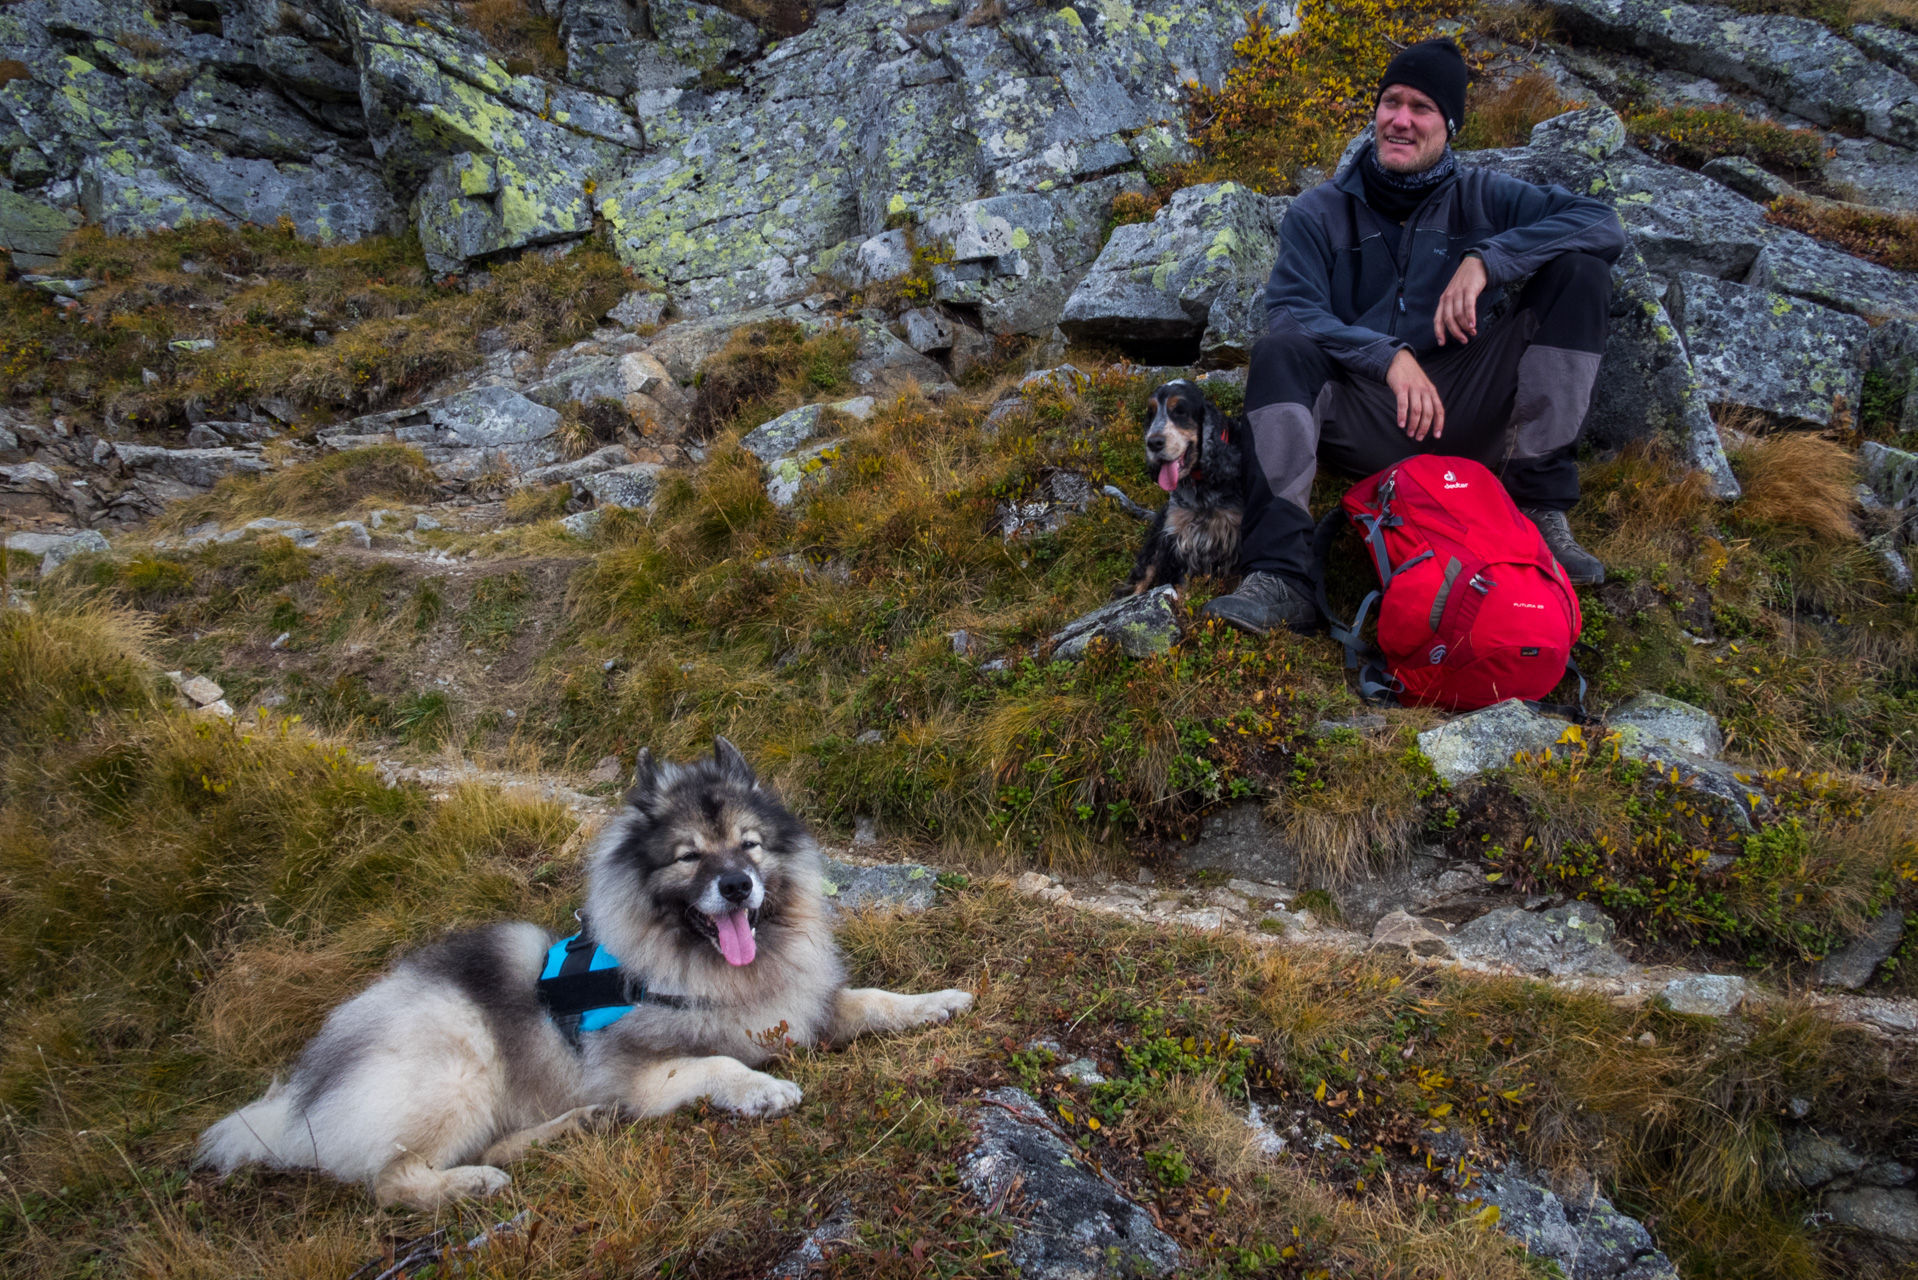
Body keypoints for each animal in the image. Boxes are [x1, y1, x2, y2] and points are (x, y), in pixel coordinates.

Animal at [202, 740, 966, 1212]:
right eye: (689, 856)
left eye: (749, 845)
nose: (737, 886)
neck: (711, 970)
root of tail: (305, 1094)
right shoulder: (638, 1070)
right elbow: (716, 1062)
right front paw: (761, 1088)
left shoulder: (799, 1007)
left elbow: (871, 1000)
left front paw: (937, 1002)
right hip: (455, 1068)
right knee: (390, 1181)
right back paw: (471, 1182)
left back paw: (571, 1127)